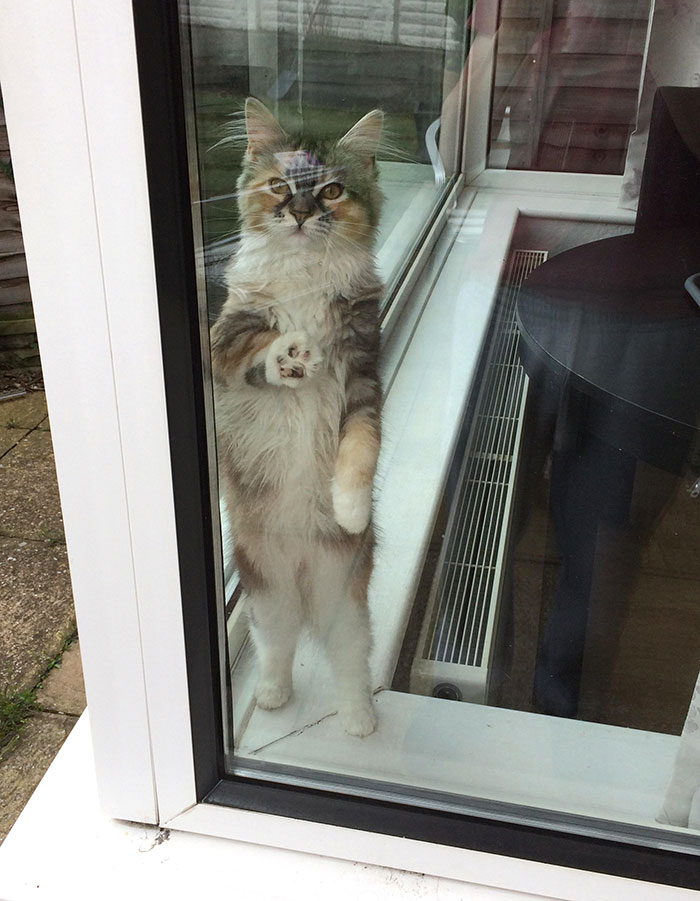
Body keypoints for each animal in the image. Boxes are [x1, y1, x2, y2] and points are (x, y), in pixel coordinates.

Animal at [211, 98, 386, 736]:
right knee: (277, 650)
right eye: (280, 186)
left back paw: (360, 721)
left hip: (346, 605)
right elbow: (257, 351)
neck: (307, 277)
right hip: (267, 596)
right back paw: (271, 695)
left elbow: (360, 449)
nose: (303, 214)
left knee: (350, 663)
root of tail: (304, 574)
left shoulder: (364, 379)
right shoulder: (223, 342)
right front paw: (290, 354)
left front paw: (350, 508)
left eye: (332, 190)